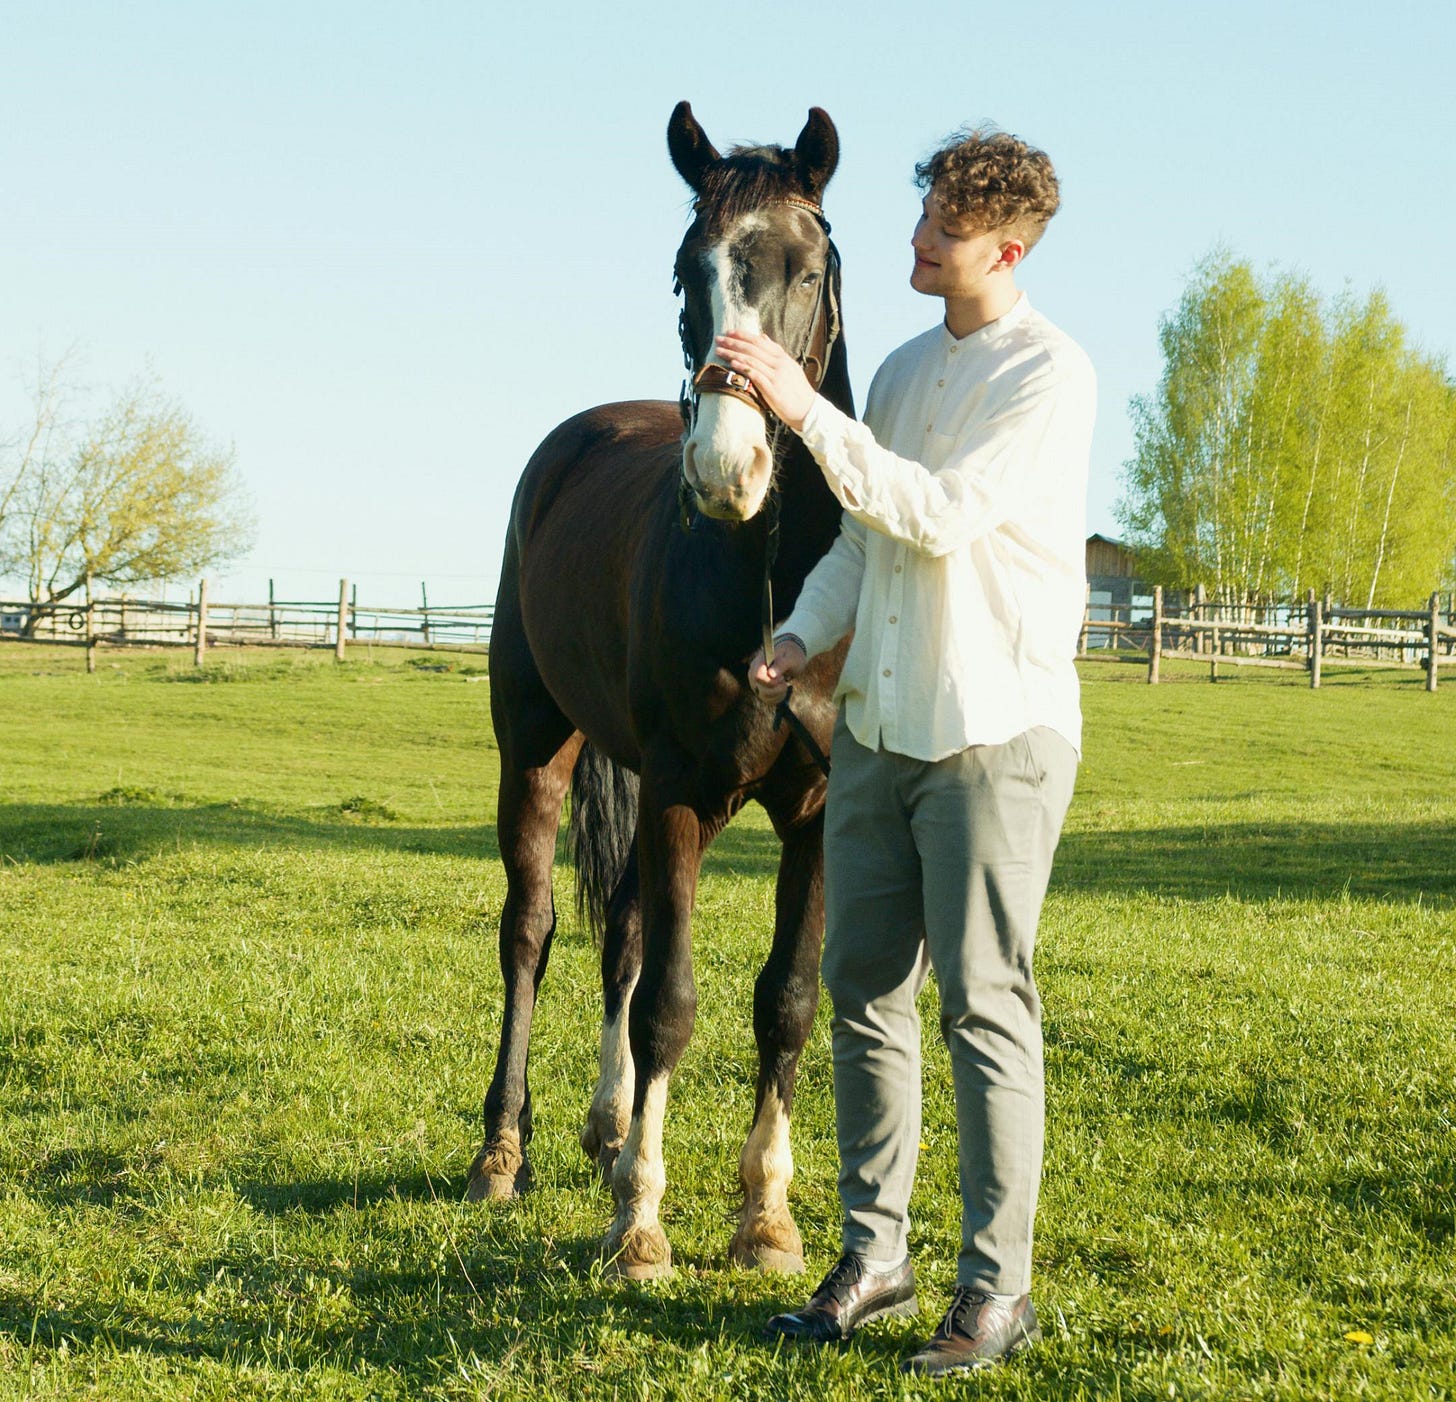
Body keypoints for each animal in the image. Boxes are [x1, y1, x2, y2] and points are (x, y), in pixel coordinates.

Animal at [466, 101, 854, 1282]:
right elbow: (672, 1006)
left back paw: (603, 1126)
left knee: (624, 937)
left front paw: (766, 1216)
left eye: (806, 269)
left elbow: (785, 1002)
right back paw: (502, 1154)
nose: (726, 473)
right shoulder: (682, 791)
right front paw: (641, 1225)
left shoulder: (817, 812)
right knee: (534, 931)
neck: (773, 582)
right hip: (536, 751)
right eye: (690, 271)